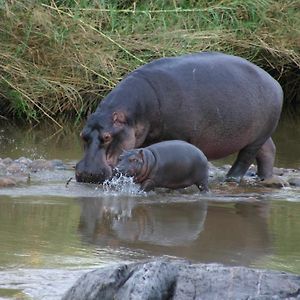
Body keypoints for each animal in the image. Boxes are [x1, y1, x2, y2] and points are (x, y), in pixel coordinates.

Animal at [75, 51, 284, 183]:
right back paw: (265, 178)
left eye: (107, 137)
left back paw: (230, 179)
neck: (132, 115)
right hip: (260, 133)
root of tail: (274, 81)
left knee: (245, 158)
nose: (86, 174)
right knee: (268, 150)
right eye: (82, 135)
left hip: (255, 138)